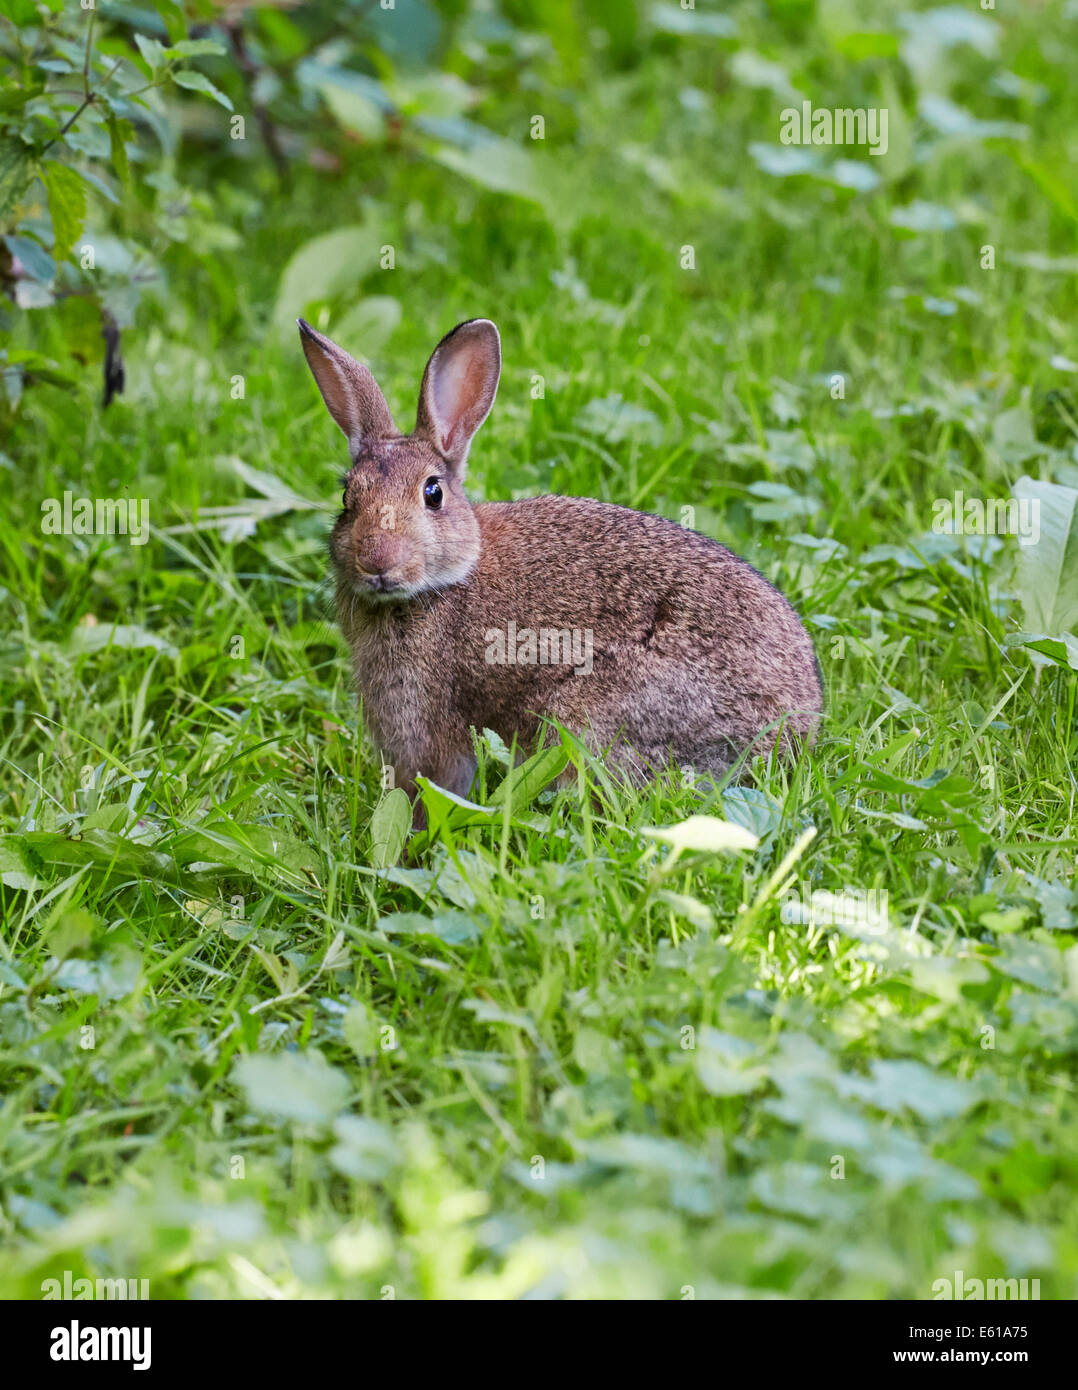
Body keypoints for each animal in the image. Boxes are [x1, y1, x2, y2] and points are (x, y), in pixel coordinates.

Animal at [298, 315, 822, 811]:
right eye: (347, 498)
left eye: (433, 493)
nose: (377, 561)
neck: (443, 585)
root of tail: (797, 730)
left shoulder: (434, 731)